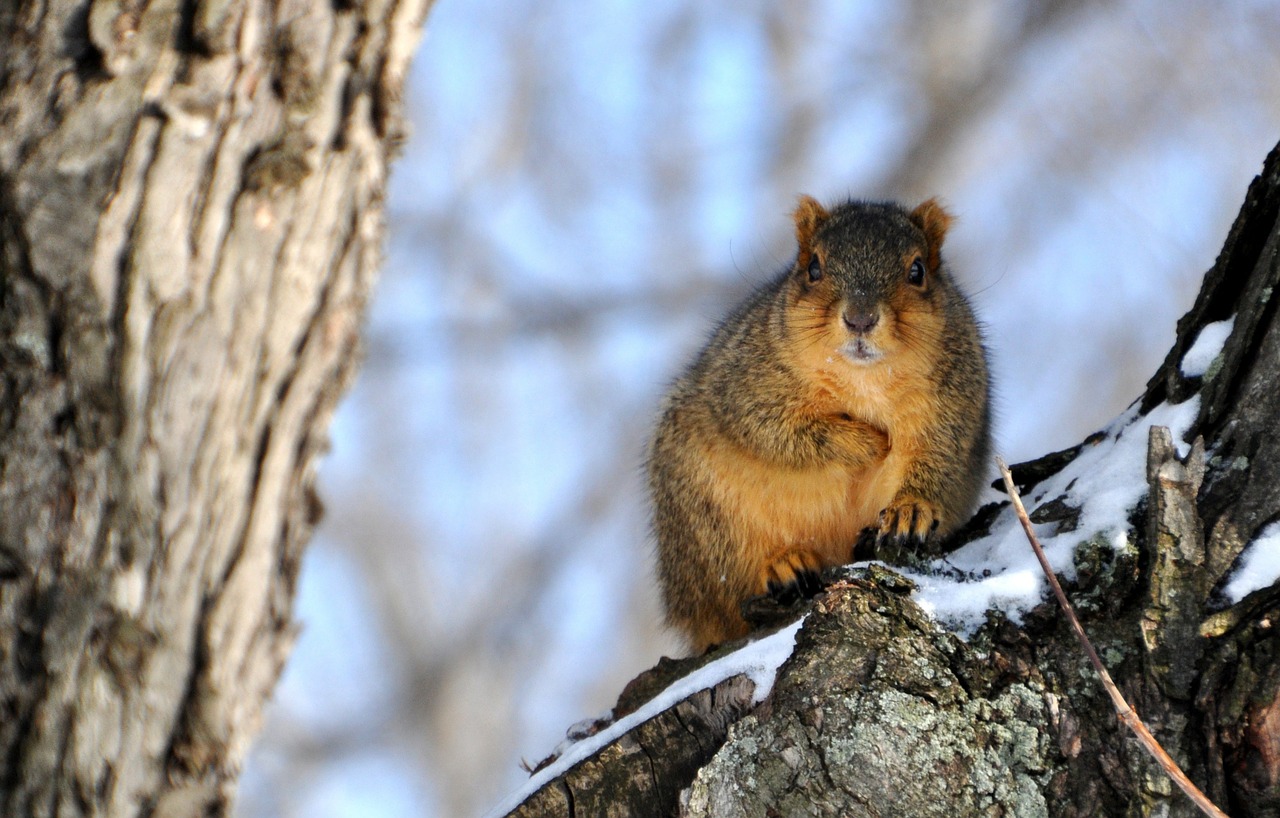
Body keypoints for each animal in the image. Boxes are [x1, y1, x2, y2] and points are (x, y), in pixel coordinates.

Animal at [650, 197, 988, 652]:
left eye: (917, 271)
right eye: (813, 268)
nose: (860, 318)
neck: (864, 378)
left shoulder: (955, 398)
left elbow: (939, 453)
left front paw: (911, 508)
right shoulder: (744, 383)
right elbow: (774, 431)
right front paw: (866, 442)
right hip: (704, 519)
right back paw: (783, 565)